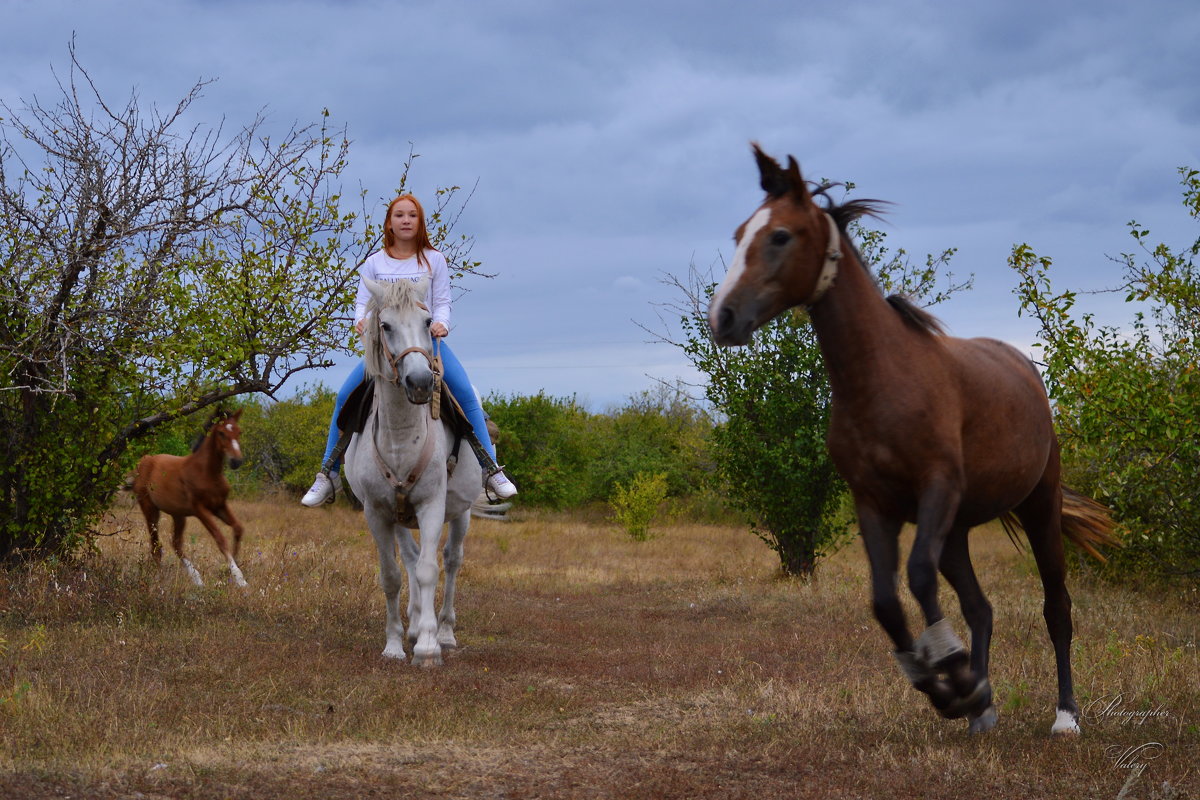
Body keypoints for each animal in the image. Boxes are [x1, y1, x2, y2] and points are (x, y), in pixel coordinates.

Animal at [343, 278, 482, 666]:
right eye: (385, 325)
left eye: (428, 321)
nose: (420, 382)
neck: (401, 439)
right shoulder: (377, 512)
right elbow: (392, 575)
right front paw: (394, 644)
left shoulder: (432, 505)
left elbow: (429, 570)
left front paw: (428, 649)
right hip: (400, 518)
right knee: (410, 558)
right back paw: (417, 624)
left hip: (461, 513)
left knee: (451, 560)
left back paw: (444, 632)